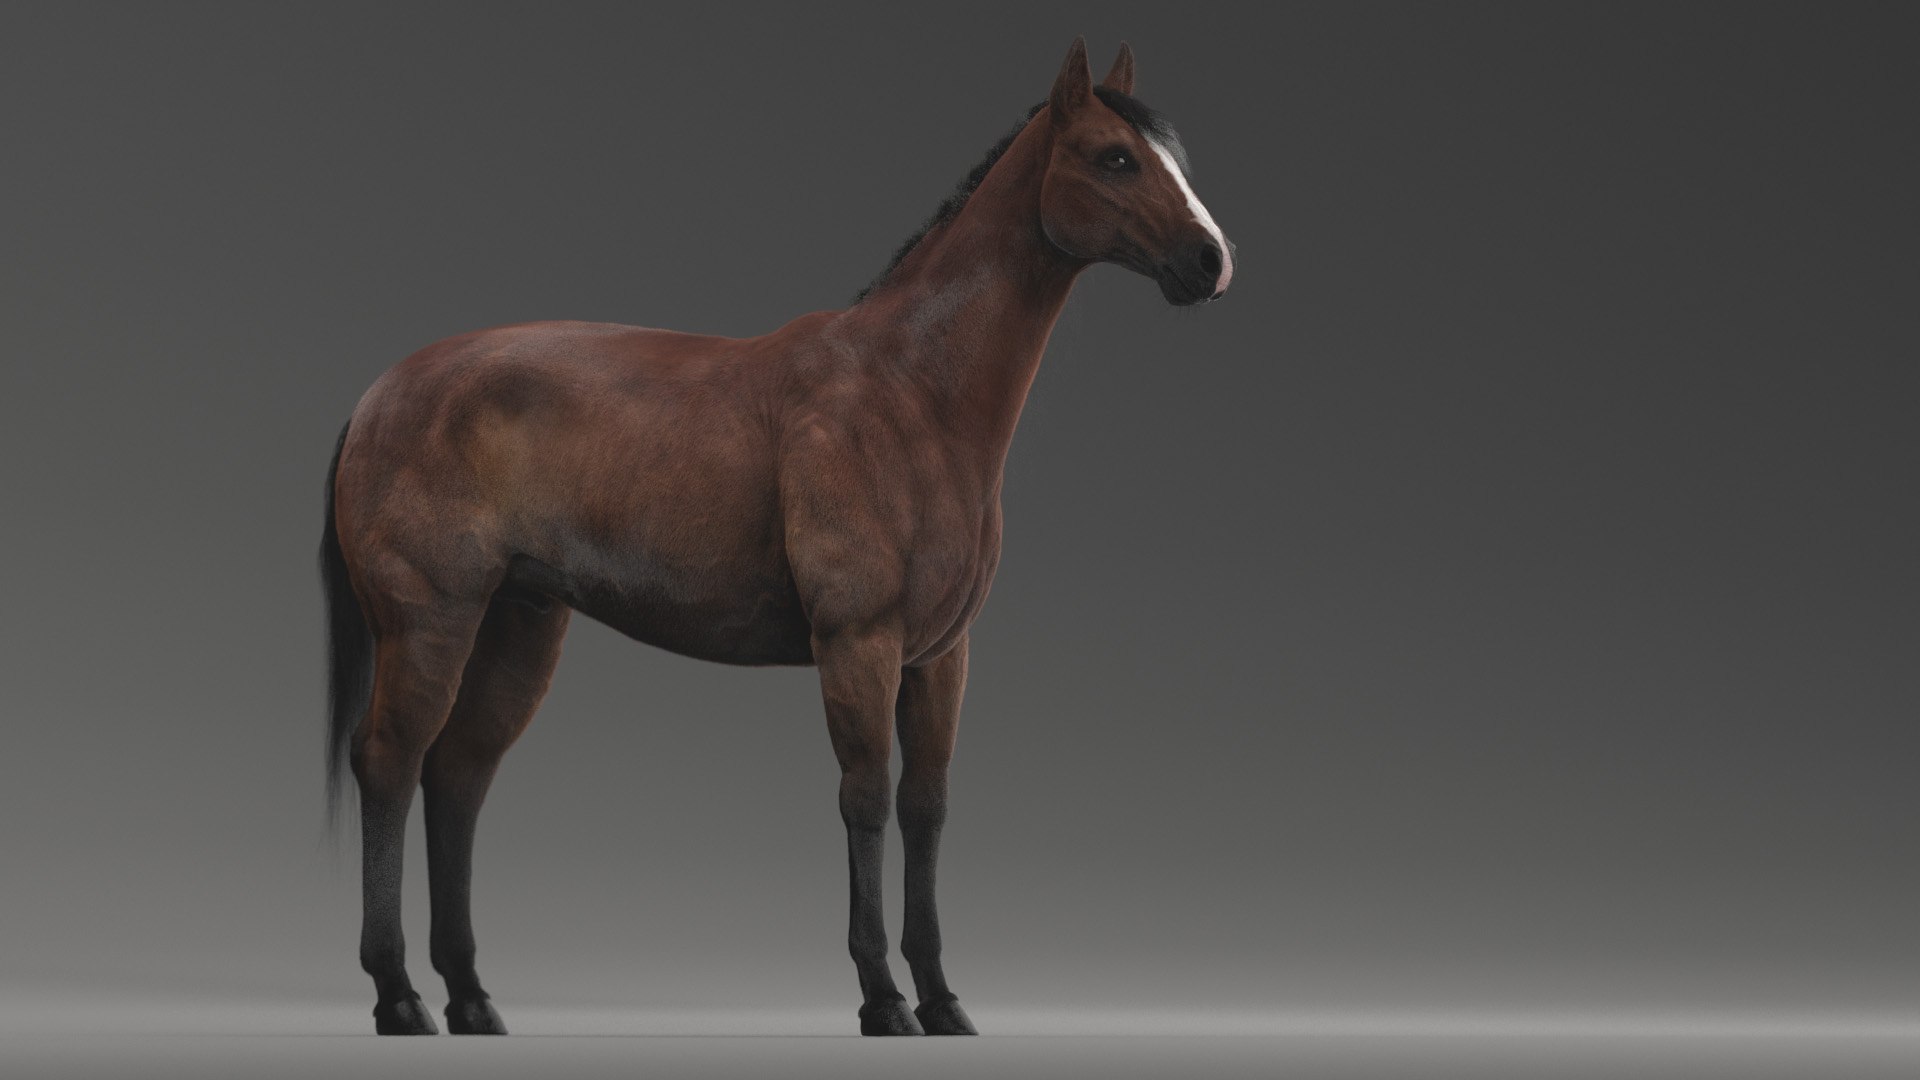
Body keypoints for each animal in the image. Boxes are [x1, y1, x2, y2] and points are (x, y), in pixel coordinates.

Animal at [319, 36, 1233, 1038]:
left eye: (1169, 158)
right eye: (1115, 157)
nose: (1211, 260)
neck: (911, 392)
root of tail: (378, 396)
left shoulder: (941, 656)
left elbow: (926, 807)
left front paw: (942, 998)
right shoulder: (858, 644)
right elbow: (865, 800)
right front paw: (883, 999)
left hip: (518, 624)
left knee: (457, 779)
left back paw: (472, 998)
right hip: (430, 622)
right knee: (390, 765)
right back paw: (399, 995)